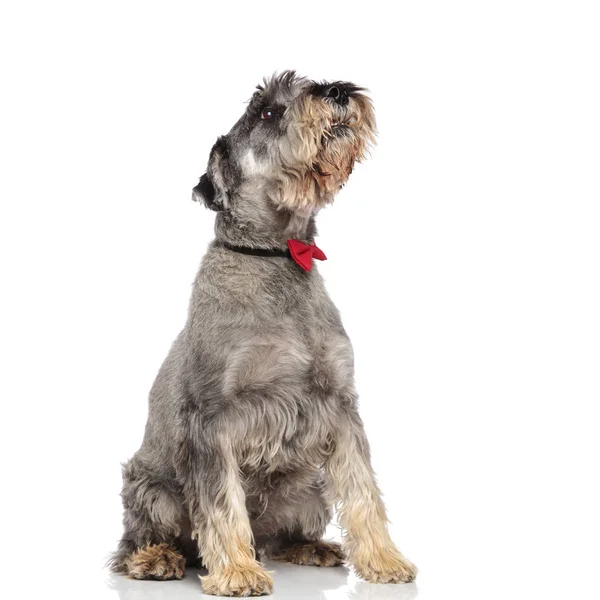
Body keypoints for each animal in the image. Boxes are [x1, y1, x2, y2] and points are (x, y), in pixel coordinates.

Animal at [109, 70, 418, 596]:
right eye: (268, 112)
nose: (338, 91)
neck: (276, 254)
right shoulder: (213, 419)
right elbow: (220, 503)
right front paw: (236, 571)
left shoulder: (338, 404)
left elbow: (363, 490)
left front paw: (383, 559)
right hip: (151, 489)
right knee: (138, 540)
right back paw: (157, 559)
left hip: (309, 489)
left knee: (277, 536)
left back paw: (311, 547)